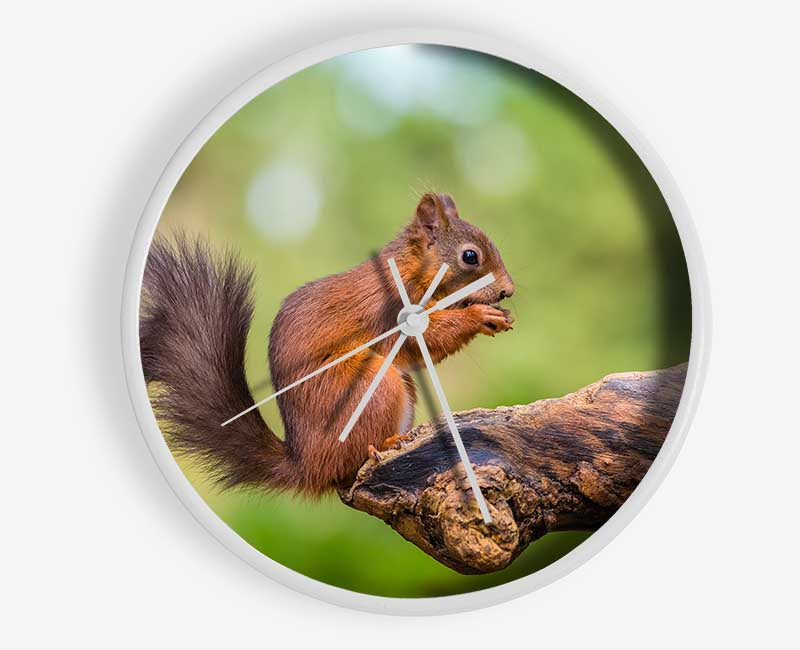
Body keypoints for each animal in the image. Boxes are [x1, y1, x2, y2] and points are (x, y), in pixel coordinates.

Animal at [141, 191, 516, 492]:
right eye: (471, 256)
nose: (508, 291)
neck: (414, 272)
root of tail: (307, 465)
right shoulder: (391, 309)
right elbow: (419, 341)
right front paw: (479, 317)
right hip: (369, 388)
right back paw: (385, 444)